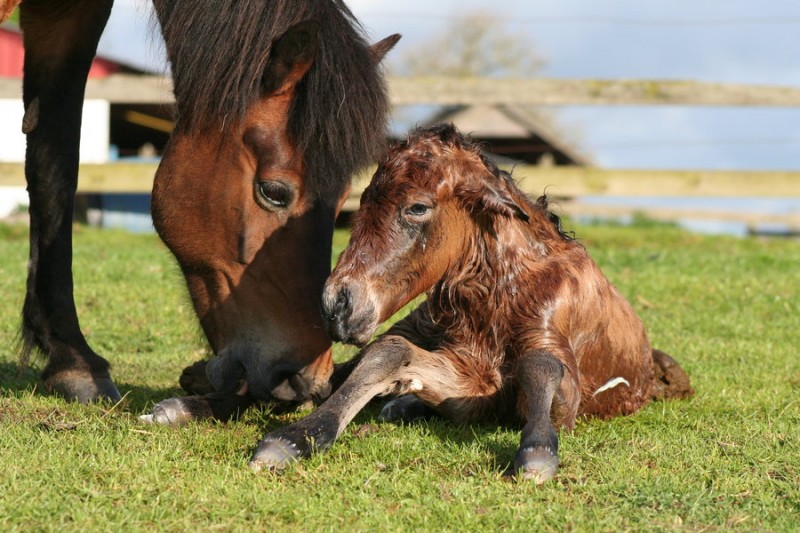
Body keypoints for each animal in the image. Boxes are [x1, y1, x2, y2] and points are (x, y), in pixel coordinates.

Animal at [252, 122, 692, 480]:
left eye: (417, 207)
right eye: (363, 203)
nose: (337, 303)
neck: (500, 296)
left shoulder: (548, 390)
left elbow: (539, 365)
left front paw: (537, 451)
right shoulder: (467, 374)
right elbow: (386, 353)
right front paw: (298, 436)